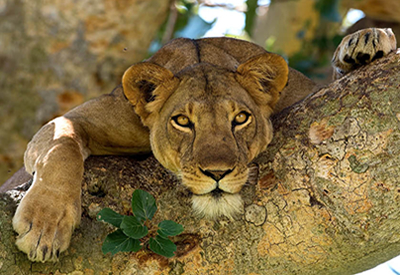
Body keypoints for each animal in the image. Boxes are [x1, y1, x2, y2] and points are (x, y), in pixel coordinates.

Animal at [11, 28, 396, 264]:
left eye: (240, 118)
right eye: (183, 121)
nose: (217, 173)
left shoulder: (306, 96)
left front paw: (364, 43)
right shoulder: (77, 121)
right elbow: (62, 145)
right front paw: (44, 226)